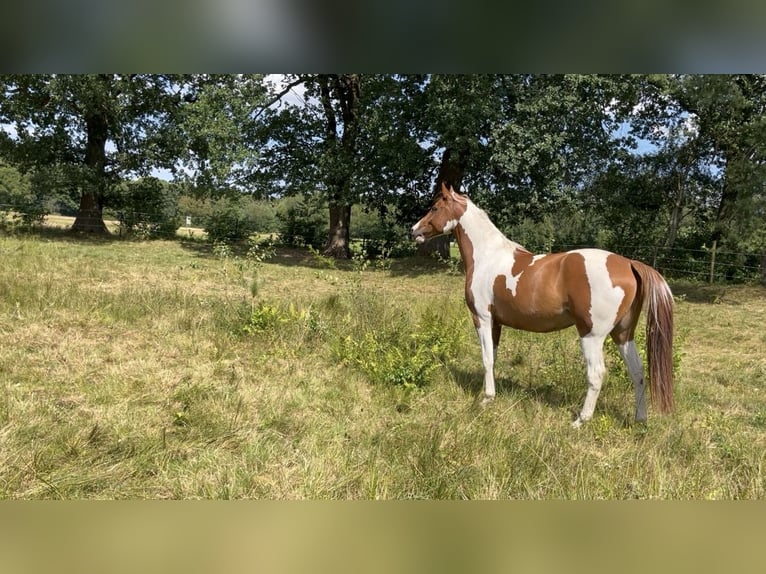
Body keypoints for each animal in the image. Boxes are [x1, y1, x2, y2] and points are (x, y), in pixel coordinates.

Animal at [412, 183, 676, 428]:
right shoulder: (496, 323)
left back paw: (581, 420)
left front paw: (486, 399)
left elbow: (486, 358)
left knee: (596, 374)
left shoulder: (482, 318)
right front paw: (489, 394)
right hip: (622, 334)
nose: (414, 230)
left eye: (435, 207)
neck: (488, 257)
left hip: (592, 335)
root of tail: (628, 263)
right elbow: (492, 357)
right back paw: (640, 419)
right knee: (638, 372)